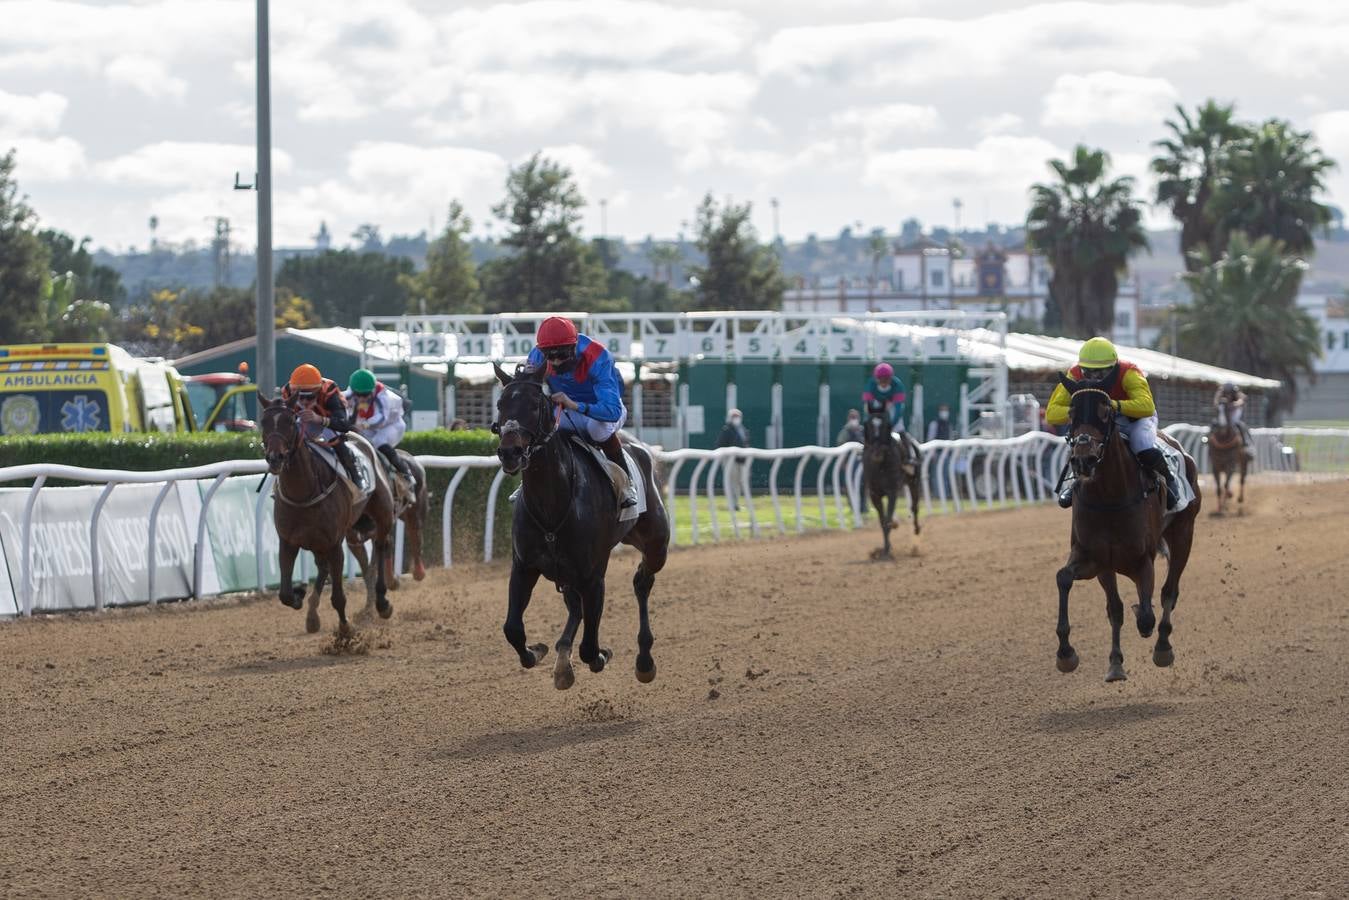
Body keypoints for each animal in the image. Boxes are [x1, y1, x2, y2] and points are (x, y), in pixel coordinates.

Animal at [257, 396, 393, 636]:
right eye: (263, 422)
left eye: (290, 421)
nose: (275, 458)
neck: (303, 493)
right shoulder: (288, 542)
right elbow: (284, 594)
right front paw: (299, 595)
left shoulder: (333, 543)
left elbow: (338, 597)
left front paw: (345, 631)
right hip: (321, 540)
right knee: (323, 567)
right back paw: (312, 615)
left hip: (382, 512)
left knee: (381, 545)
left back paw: (382, 602)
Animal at [491, 361, 669, 696]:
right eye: (501, 404)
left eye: (535, 404)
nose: (510, 453)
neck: (552, 503)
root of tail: (640, 446)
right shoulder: (524, 565)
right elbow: (512, 629)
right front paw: (538, 651)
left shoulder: (593, 574)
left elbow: (589, 646)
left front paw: (601, 654)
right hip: (565, 572)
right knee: (574, 606)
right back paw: (562, 659)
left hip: (656, 544)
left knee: (642, 582)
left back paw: (644, 661)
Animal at [857, 407, 922, 558]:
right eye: (869, 425)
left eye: (885, 426)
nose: (877, 452)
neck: (880, 465)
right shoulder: (874, 494)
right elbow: (883, 521)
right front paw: (885, 548)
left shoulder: (892, 491)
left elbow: (887, 520)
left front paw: (886, 550)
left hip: (914, 482)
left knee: (914, 507)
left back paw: (916, 529)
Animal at [1052, 377, 1203, 682]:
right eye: (1071, 413)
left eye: (1105, 412)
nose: (1083, 460)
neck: (1109, 497)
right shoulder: (1094, 559)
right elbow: (1065, 579)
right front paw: (1067, 654)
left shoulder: (1142, 560)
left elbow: (1146, 615)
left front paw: (1148, 630)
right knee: (1117, 607)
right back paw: (1115, 662)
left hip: (1184, 534)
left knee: (1169, 592)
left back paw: (1162, 647)